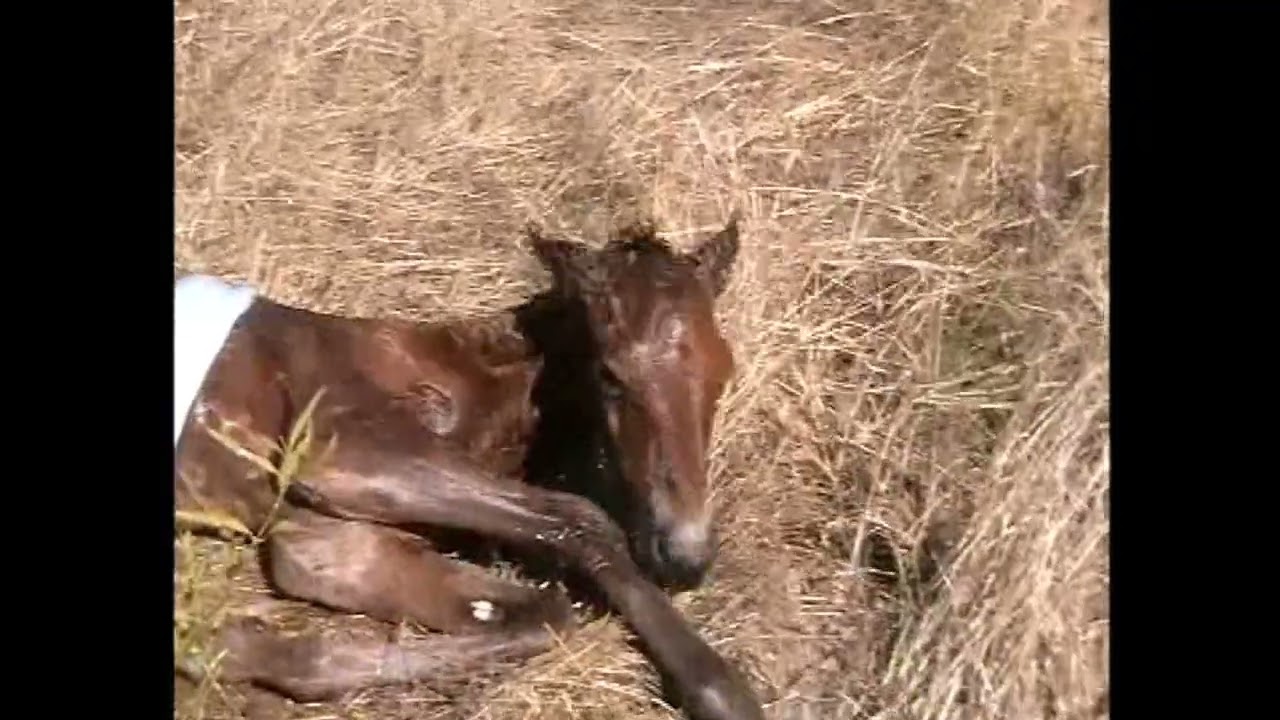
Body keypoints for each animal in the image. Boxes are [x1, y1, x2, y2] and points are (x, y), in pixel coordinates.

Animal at [174, 214, 765, 720]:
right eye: (610, 375)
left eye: (723, 372)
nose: (685, 554)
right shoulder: (340, 451)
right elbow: (584, 520)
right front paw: (718, 688)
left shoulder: (331, 542)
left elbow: (547, 612)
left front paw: (225, 647)